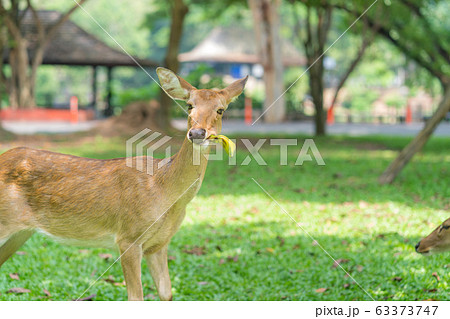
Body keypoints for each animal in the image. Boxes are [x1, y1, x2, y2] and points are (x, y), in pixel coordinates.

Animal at [0, 67, 248, 300]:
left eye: (220, 109)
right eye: (189, 106)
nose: (196, 133)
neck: (164, 190)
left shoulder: (159, 244)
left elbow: (166, 293)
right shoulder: (128, 237)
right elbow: (136, 297)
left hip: (20, 233)